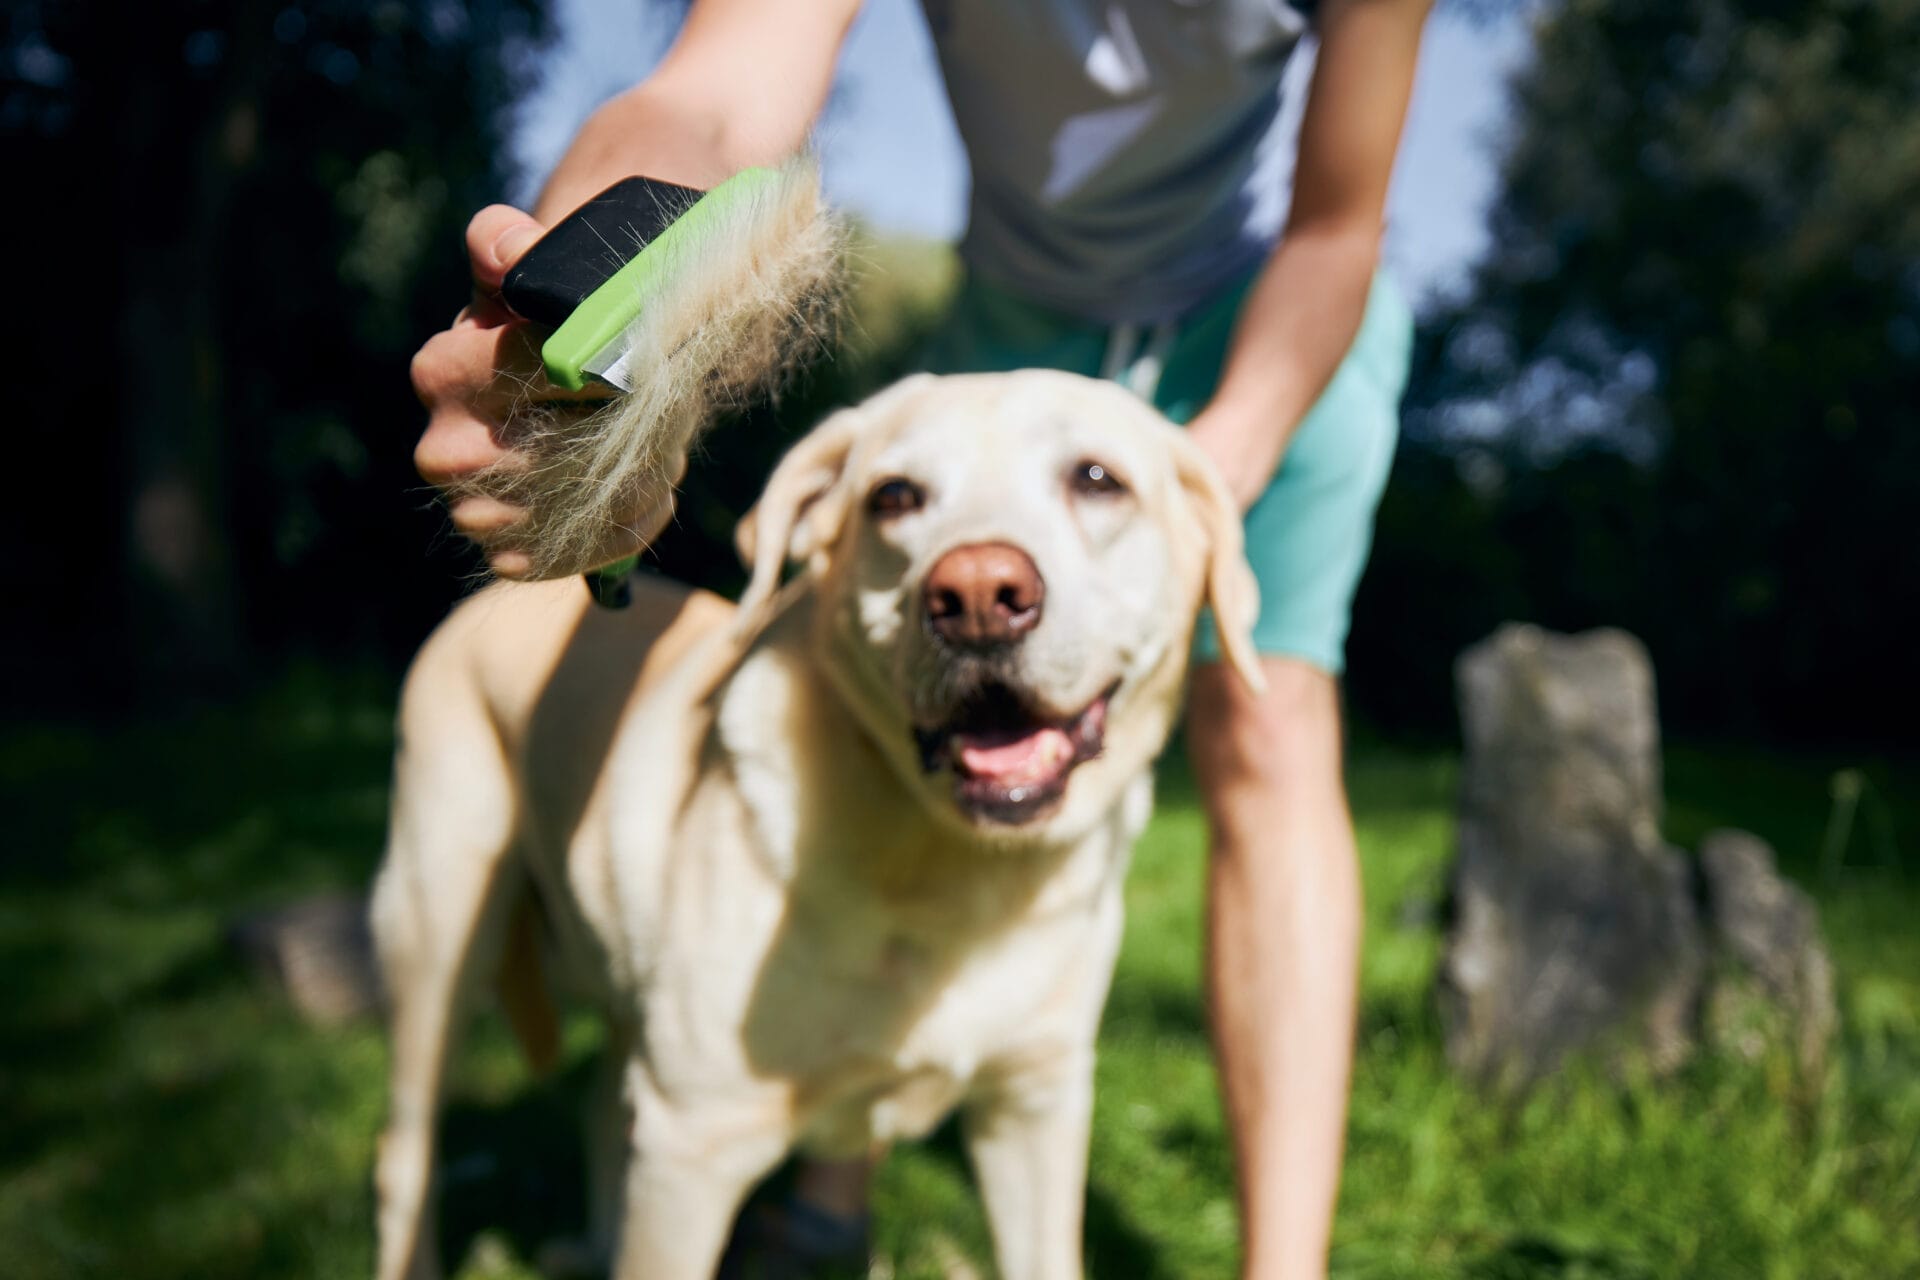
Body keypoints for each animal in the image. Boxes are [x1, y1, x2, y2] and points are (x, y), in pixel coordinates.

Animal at [370, 370, 1259, 1280]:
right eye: (894, 496)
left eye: (1097, 480)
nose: (978, 595)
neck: (952, 869)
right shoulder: (692, 1143)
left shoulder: (1035, 1108)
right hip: (440, 932)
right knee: (406, 1155)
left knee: (595, 1109)